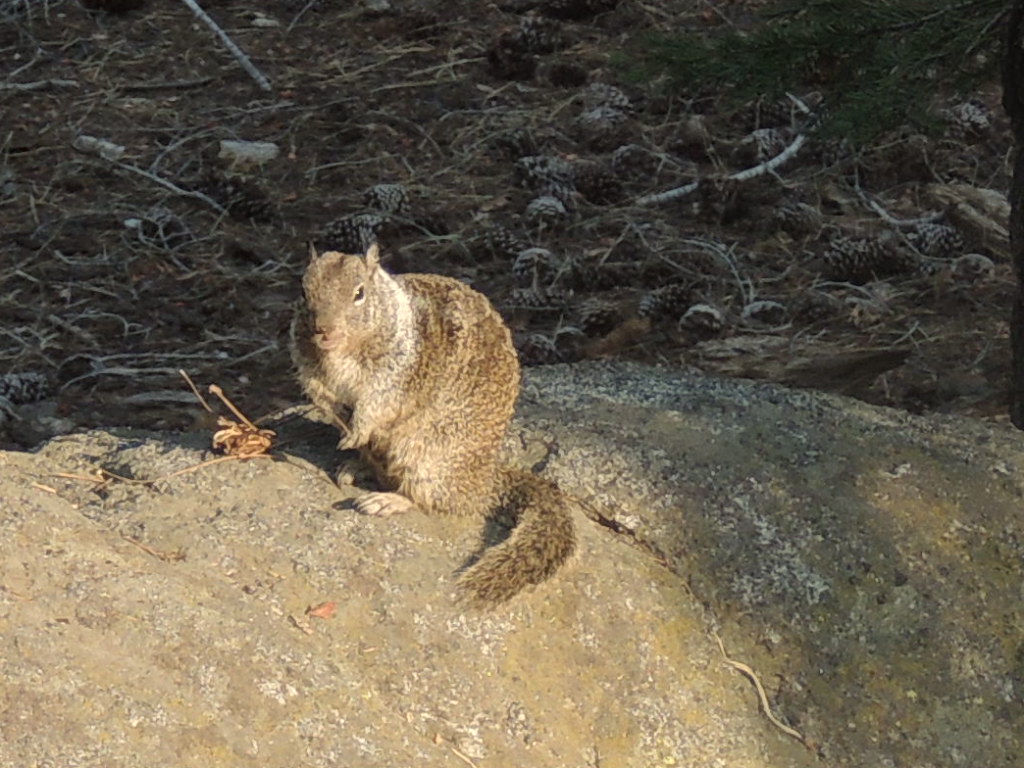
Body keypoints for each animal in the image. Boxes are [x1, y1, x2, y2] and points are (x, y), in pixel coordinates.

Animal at [290, 243, 576, 607]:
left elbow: (376, 404)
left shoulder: (396, 374)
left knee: (429, 500)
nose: (323, 329)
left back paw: (388, 500)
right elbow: (319, 392)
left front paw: (355, 430)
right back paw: (357, 467)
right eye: (303, 290)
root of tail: (484, 481)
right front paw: (336, 416)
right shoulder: (309, 364)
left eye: (359, 293)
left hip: (427, 458)